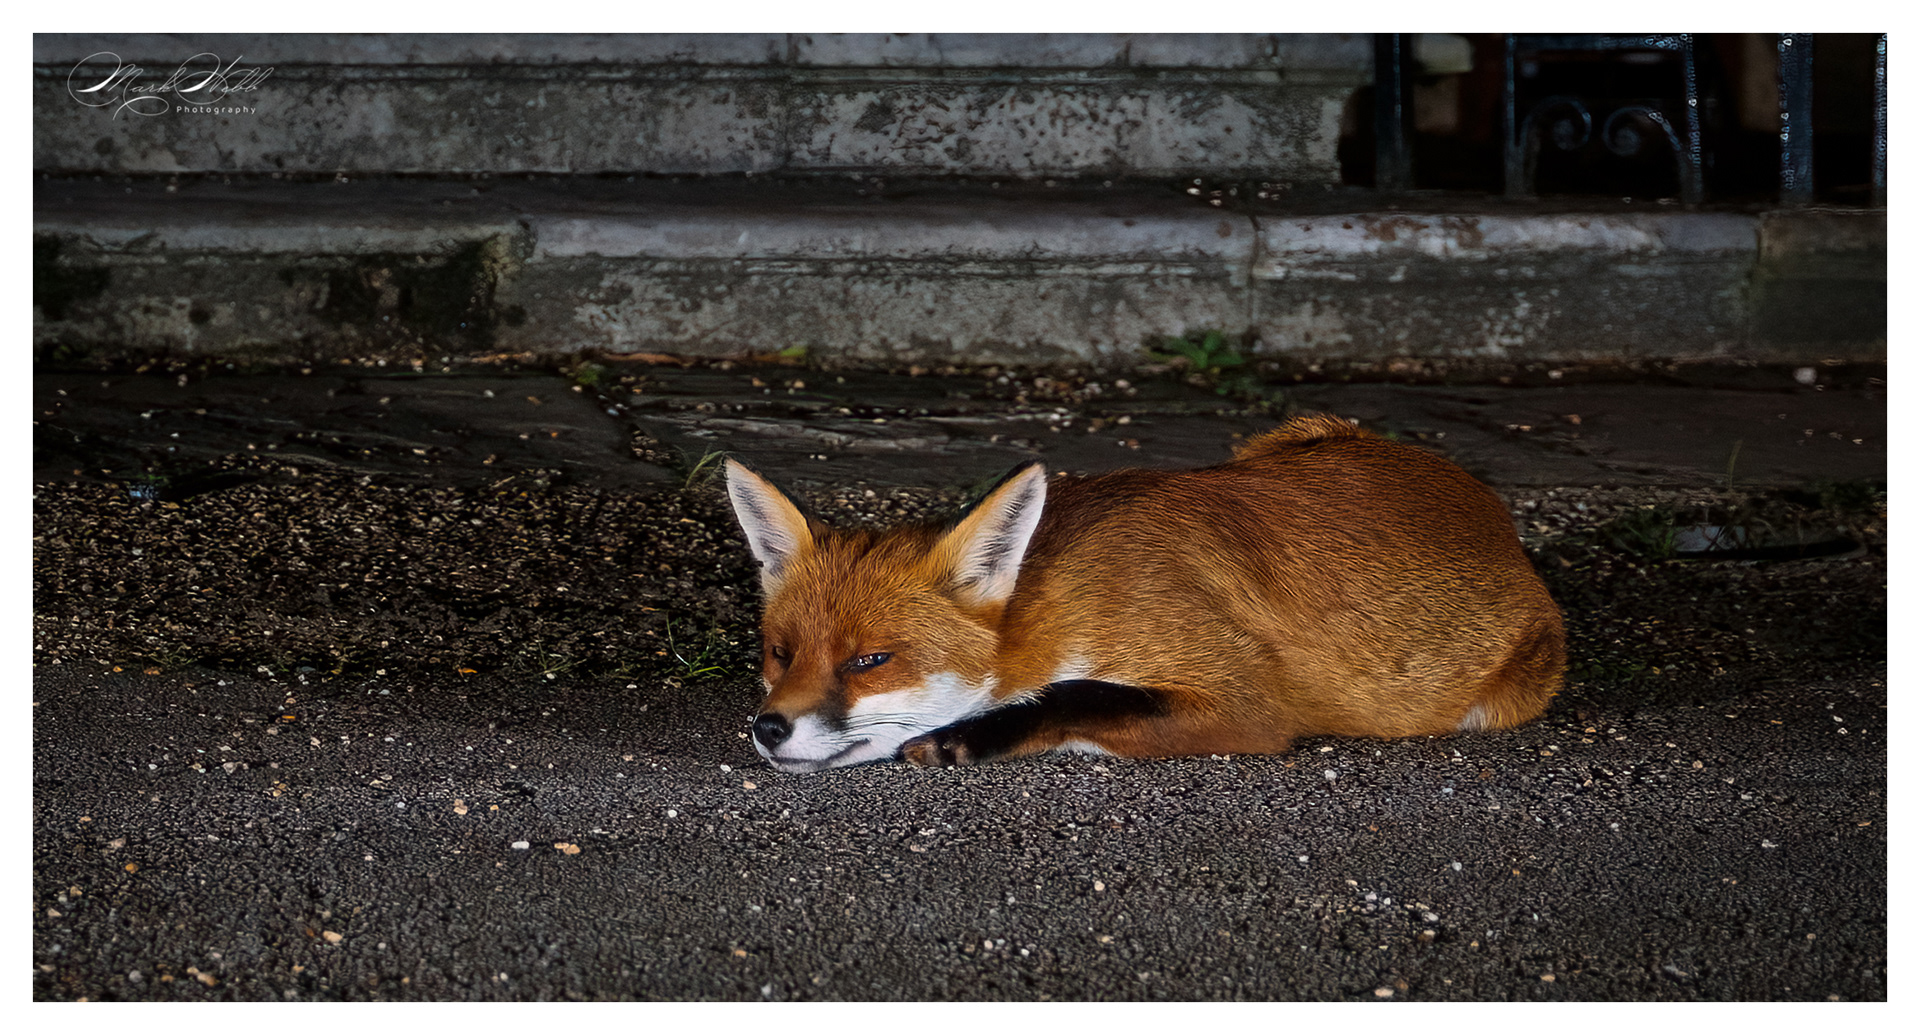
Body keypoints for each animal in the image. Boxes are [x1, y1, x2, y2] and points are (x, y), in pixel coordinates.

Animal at [723, 412, 1565, 773]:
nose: (768, 727)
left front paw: (974, 735)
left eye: (870, 661)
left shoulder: (1247, 704)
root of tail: (1493, 509)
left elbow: (1078, 697)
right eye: (780, 653)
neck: (1058, 601)